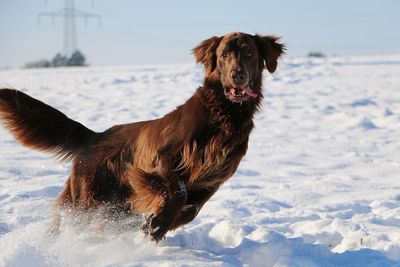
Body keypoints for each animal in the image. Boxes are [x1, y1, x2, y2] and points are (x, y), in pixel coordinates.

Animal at [0, 32, 284, 242]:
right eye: (224, 55)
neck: (223, 115)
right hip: (86, 199)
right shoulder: (165, 158)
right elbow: (178, 194)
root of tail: (94, 137)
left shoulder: (212, 179)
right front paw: (157, 222)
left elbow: (190, 210)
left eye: (250, 53)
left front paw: (154, 224)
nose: (237, 75)